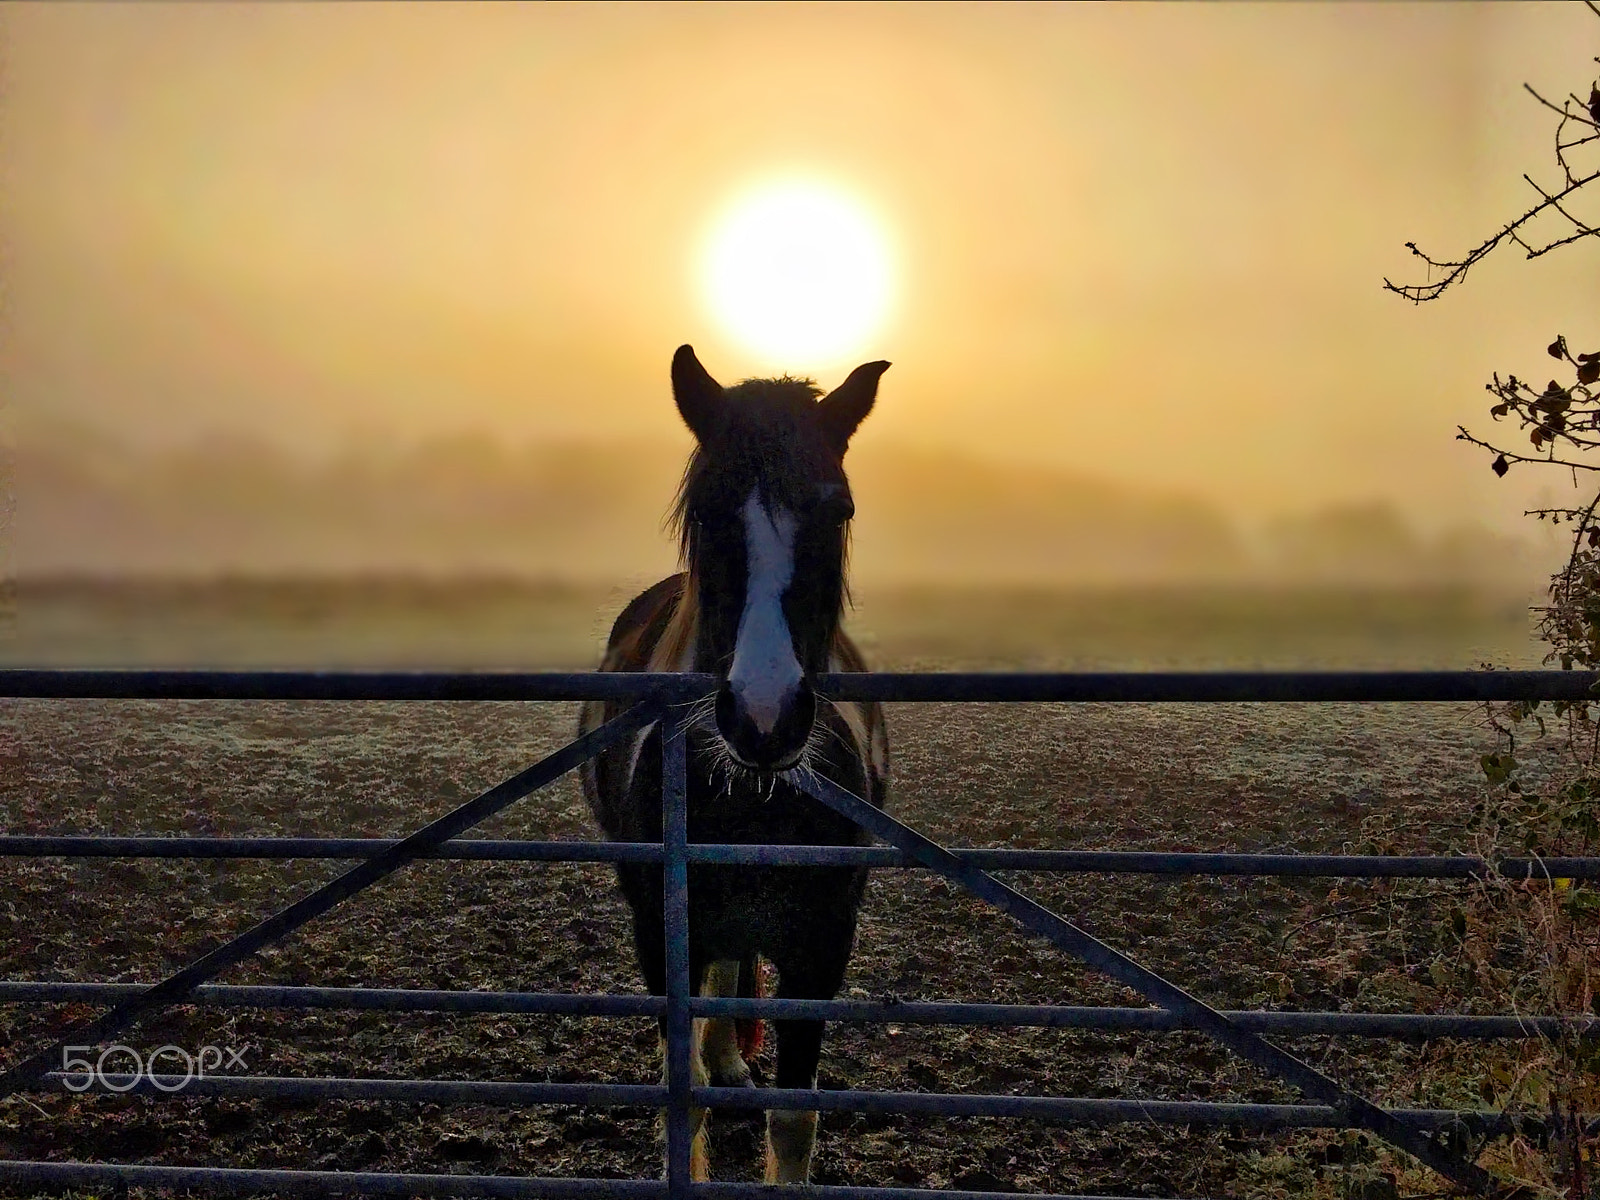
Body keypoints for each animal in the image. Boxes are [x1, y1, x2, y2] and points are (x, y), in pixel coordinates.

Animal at [582, 345, 896, 1184]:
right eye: (706, 512)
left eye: (838, 511)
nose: (764, 714)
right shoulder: (662, 934)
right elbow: (680, 1099)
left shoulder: (823, 945)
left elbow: (793, 1120)